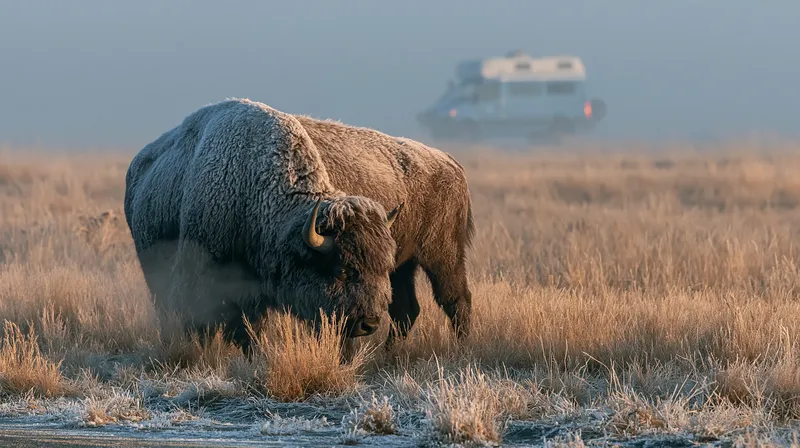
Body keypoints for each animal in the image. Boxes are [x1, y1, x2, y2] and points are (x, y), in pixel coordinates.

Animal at [124, 98, 474, 356]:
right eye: (342, 270)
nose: (369, 324)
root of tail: (450, 162)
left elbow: (247, 326)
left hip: (439, 258)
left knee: (454, 301)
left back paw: (460, 348)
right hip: (409, 265)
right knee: (408, 310)